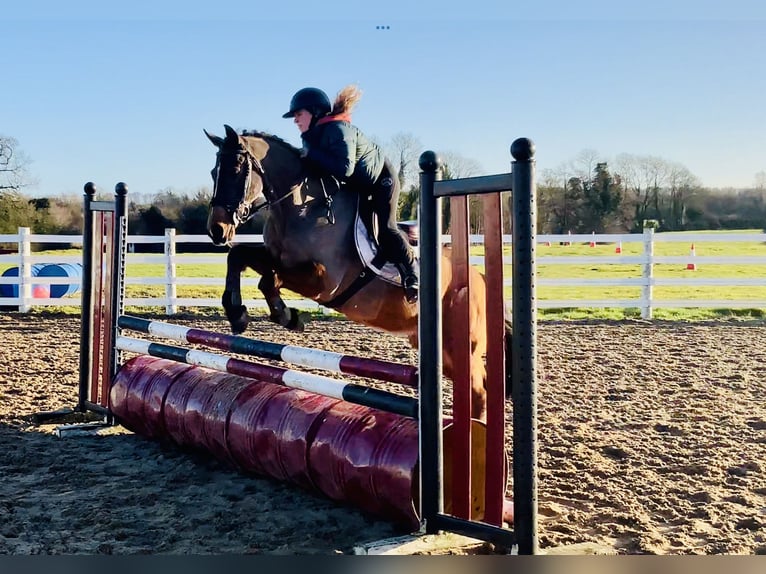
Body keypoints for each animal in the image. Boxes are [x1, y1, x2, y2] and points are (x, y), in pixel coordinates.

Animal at [204, 124, 508, 421]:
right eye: (212, 172)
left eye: (234, 170)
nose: (217, 230)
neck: (302, 207)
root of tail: (480, 279)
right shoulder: (274, 256)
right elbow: (239, 256)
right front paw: (238, 312)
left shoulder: (323, 282)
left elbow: (270, 279)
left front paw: (286, 315)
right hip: (438, 351)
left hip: (461, 345)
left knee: (478, 390)